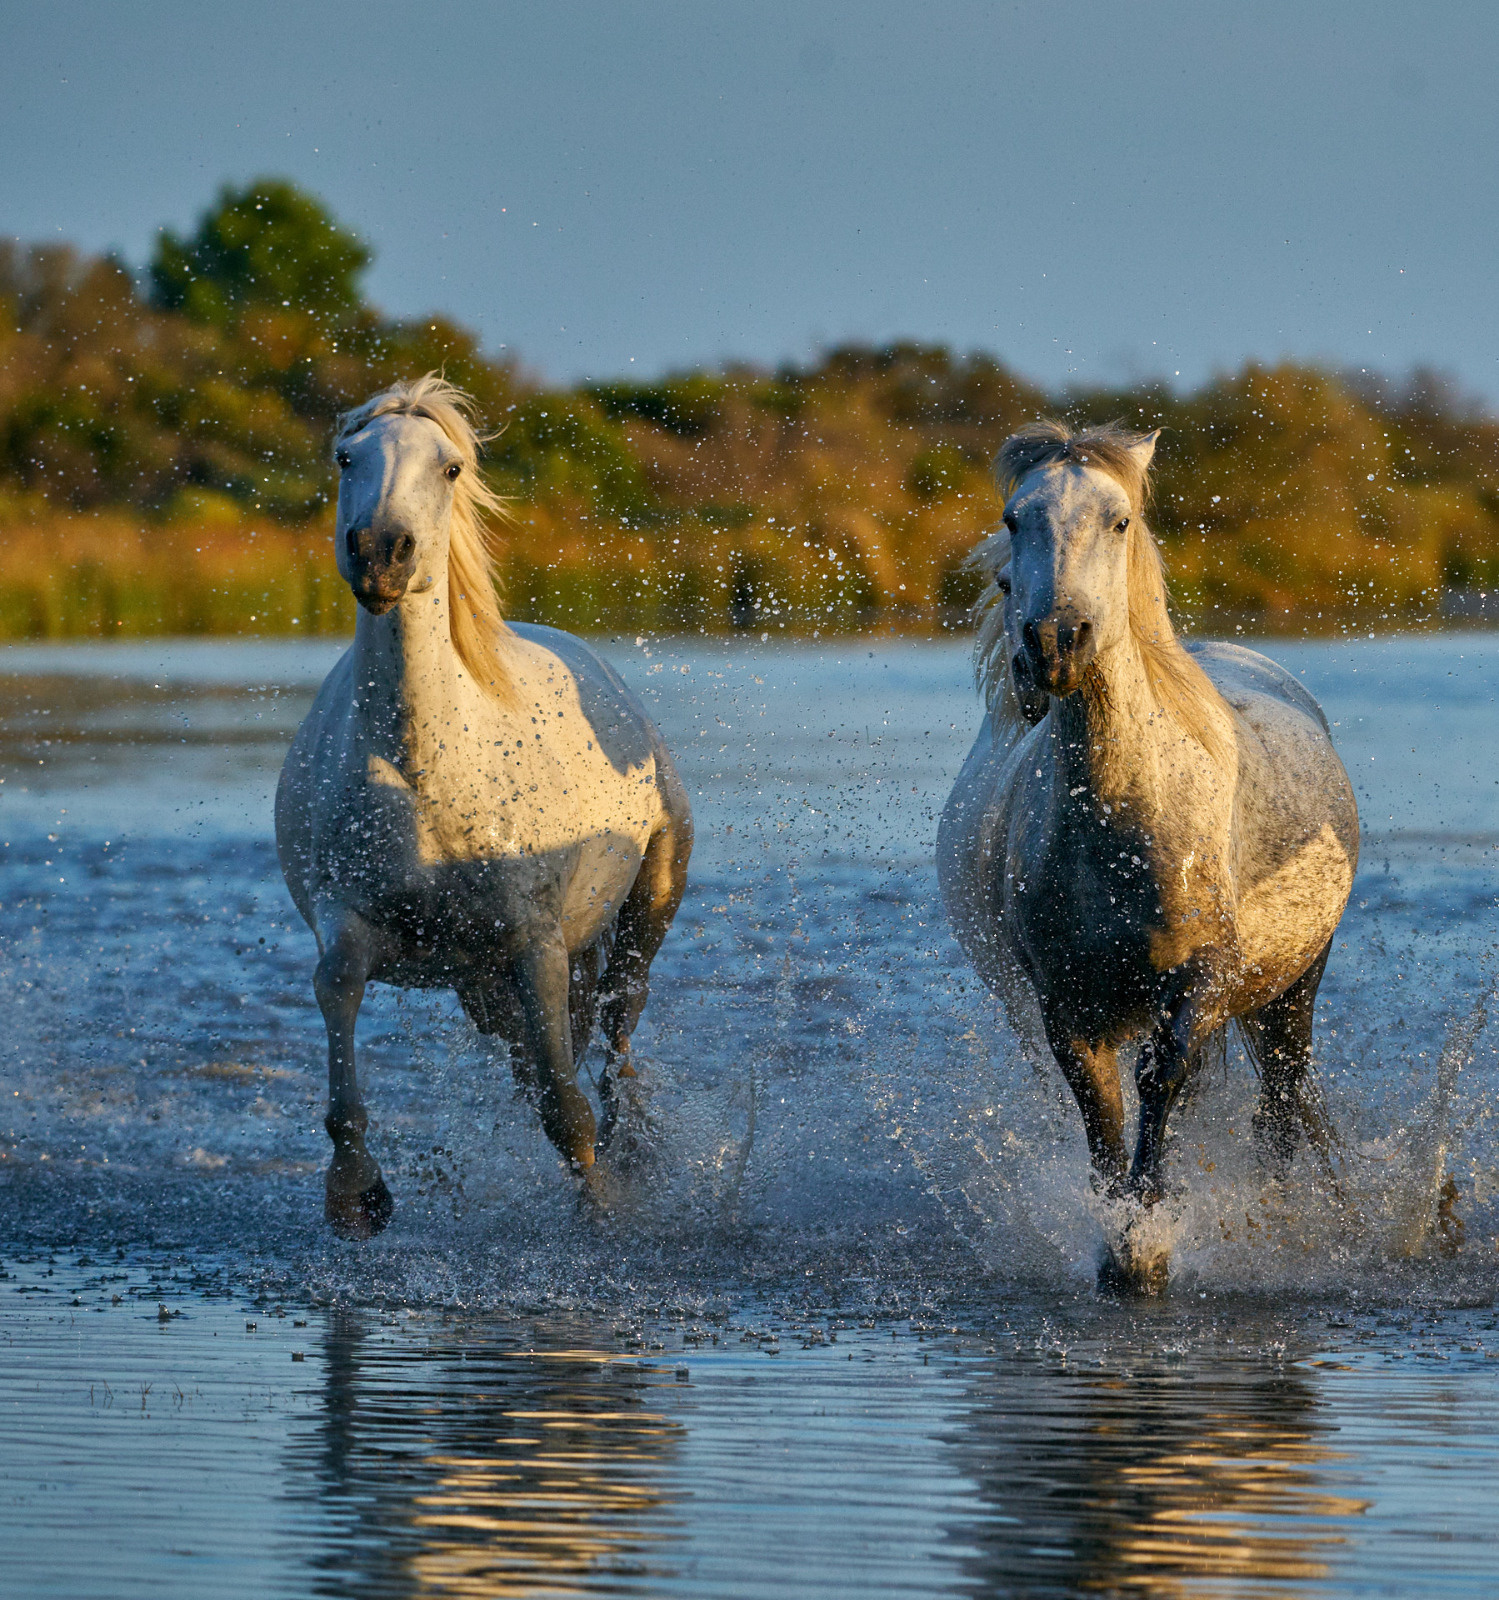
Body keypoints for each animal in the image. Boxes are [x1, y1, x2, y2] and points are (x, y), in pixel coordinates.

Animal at [275, 375, 692, 1238]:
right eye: (346, 457)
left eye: (451, 467)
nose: (380, 551)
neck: (421, 775)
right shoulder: (348, 928)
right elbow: (340, 1038)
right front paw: (356, 1196)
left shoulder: (536, 944)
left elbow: (566, 1110)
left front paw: (604, 1213)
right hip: (480, 986)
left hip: (647, 905)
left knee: (618, 1038)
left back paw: (634, 1156)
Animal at [937, 421, 1358, 1292]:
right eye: (1013, 518)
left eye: (1119, 519)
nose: (1052, 643)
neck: (1123, 824)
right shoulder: (1065, 1006)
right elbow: (1102, 1113)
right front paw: (1119, 1240)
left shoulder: (1198, 984)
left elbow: (1158, 1084)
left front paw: (1148, 1241)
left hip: (1292, 985)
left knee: (1279, 1105)